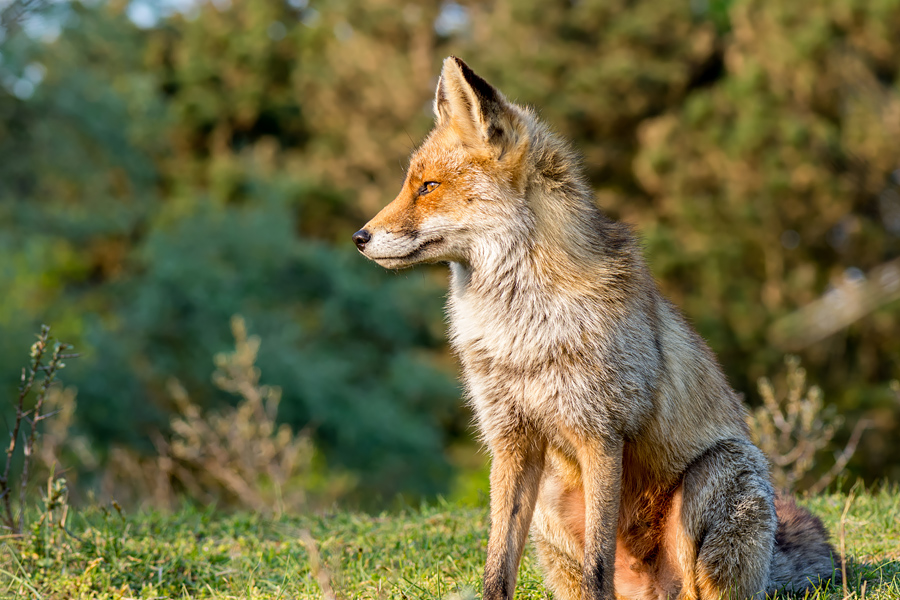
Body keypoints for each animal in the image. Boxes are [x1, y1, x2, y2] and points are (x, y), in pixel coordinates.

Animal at [350, 57, 836, 600]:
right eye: (411, 185)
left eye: (428, 188)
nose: (358, 237)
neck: (521, 334)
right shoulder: (511, 439)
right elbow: (498, 563)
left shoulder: (601, 434)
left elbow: (598, 562)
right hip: (550, 496)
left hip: (718, 476)